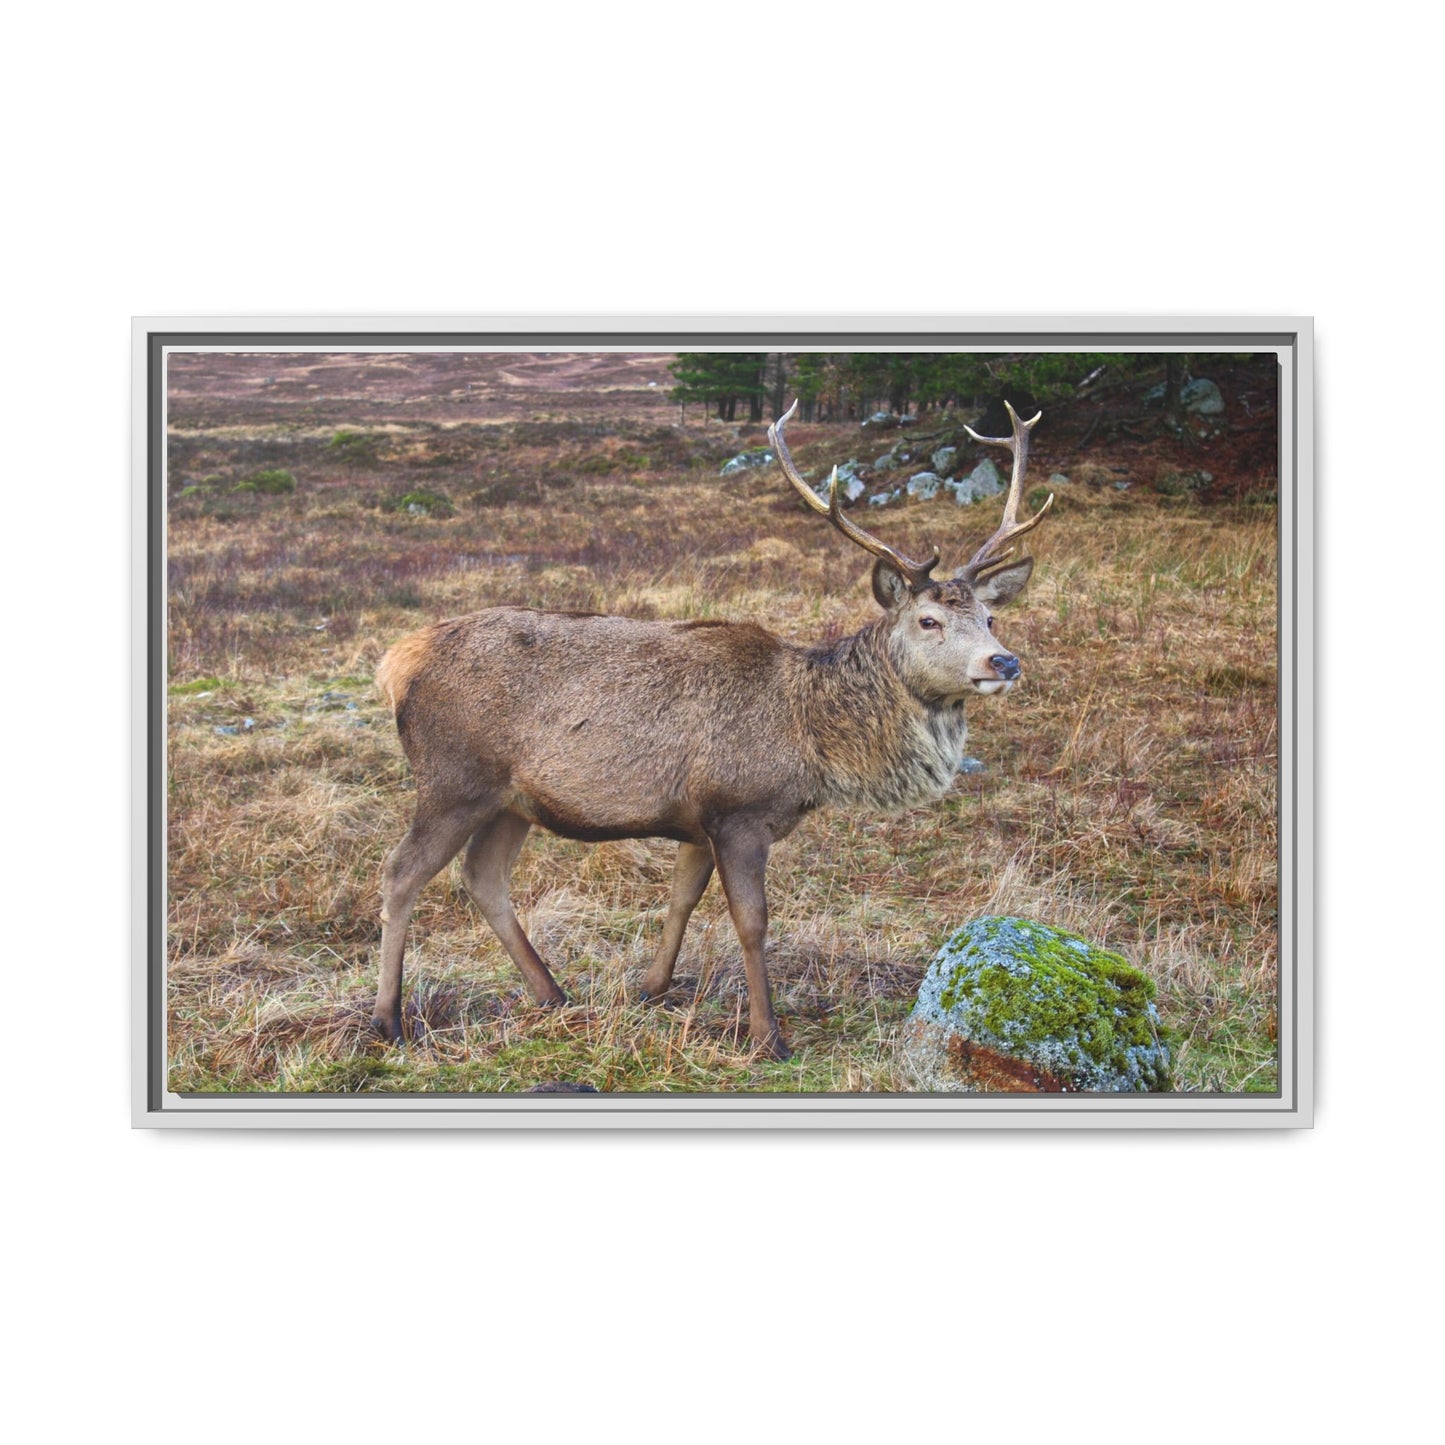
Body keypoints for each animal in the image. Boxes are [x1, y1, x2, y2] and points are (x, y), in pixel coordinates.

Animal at [372, 399, 1052, 1060]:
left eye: (990, 616)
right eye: (929, 620)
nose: (1004, 662)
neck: (812, 743)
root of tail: (399, 659)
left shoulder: (697, 822)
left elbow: (681, 899)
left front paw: (650, 989)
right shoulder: (738, 811)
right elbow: (752, 922)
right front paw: (768, 1035)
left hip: (512, 801)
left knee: (483, 876)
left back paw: (553, 993)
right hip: (453, 778)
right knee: (401, 872)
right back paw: (389, 1020)